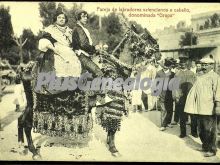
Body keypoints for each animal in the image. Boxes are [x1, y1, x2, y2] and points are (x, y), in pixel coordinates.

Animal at [16, 23, 158, 160]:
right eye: (145, 37)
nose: (158, 52)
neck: (115, 67)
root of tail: (27, 69)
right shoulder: (113, 105)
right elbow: (112, 129)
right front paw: (114, 149)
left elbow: (109, 128)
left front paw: (109, 145)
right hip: (34, 104)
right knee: (27, 124)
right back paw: (34, 152)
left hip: (30, 103)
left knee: (21, 120)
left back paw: (22, 147)